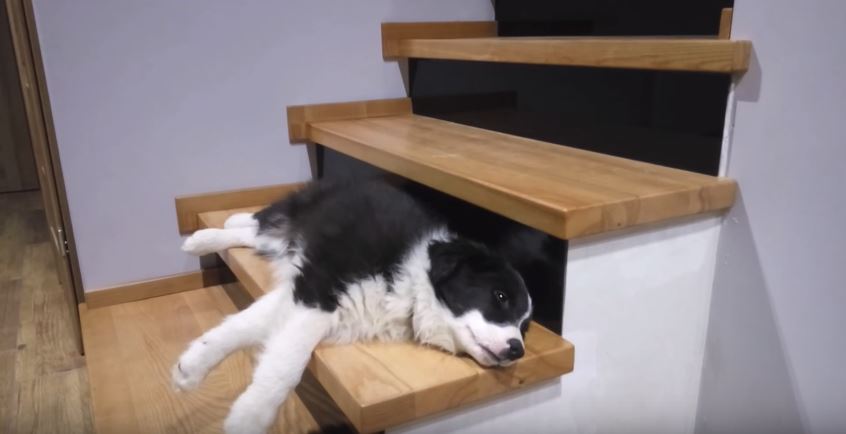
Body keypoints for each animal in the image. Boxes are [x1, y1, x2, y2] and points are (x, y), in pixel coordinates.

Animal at [172, 180, 532, 434]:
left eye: (525, 327)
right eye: (500, 297)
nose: (518, 350)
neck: (413, 284)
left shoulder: (302, 290)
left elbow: (245, 325)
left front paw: (191, 366)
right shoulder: (320, 287)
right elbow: (287, 362)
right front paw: (250, 416)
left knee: (259, 237)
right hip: (300, 212)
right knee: (262, 223)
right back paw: (212, 233)